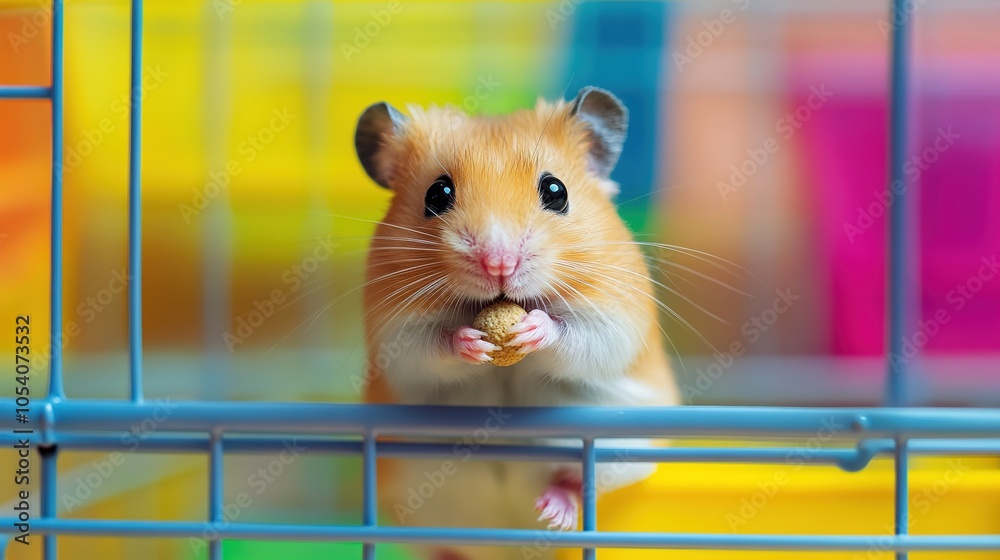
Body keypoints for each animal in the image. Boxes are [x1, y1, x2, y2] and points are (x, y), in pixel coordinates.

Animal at [354, 86, 679, 560]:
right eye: (437, 194)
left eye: (556, 191)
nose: (498, 264)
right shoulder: (394, 333)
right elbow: (426, 347)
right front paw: (472, 340)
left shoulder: (616, 315)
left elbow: (583, 338)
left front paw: (531, 329)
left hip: (619, 454)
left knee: (578, 482)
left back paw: (553, 511)